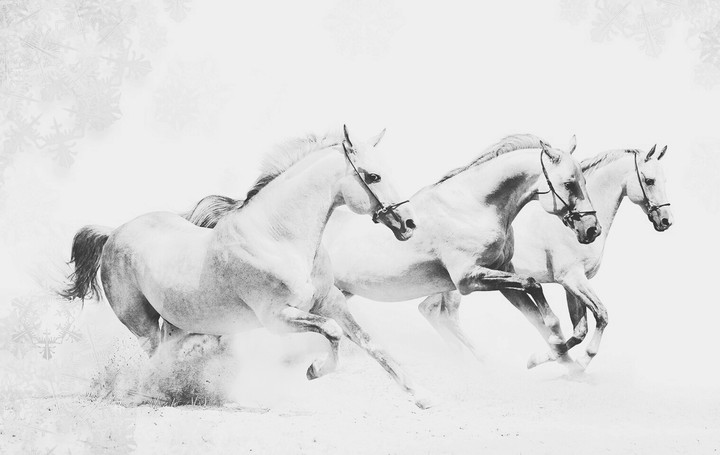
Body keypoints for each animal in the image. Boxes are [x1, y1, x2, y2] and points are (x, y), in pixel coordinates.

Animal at [61, 126, 434, 408]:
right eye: (374, 176)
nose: (410, 223)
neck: (278, 237)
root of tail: (113, 233)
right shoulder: (278, 318)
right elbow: (333, 332)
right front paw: (314, 370)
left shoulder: (331, 301)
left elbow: (369, 342)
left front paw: (420, 396)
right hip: (142, 324)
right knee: (157, 358)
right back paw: (157, 394)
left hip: (176, 322)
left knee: (174, 352)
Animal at [183, 134, 602, 367]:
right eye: (570, 182)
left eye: (583, 180)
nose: (591, 229)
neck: (474, 205)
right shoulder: (469, 280)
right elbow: (535, 286)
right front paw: (557, 354)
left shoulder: (501, 276)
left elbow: (544, 313)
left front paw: (555, 356)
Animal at [418, 145, 673, 370]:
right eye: (649, 180)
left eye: (664, 180)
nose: (666, 220)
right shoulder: (572, 279)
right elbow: (601, 315)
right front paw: (576, 361)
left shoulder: (572, 284)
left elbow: (579, 330)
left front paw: (547, 359)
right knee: (442, 314)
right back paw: (480, 359)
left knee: (431, 310)